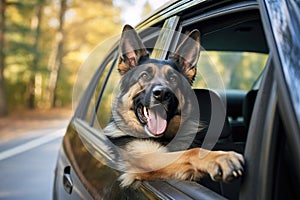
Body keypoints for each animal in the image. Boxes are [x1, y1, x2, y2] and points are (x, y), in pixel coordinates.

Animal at [104, 25, 245, 188]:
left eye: (173, 78)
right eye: (144, 76)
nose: (162, 94)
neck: (164, 138)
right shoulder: (148, 159)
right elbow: (191, 152)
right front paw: (221, 157)